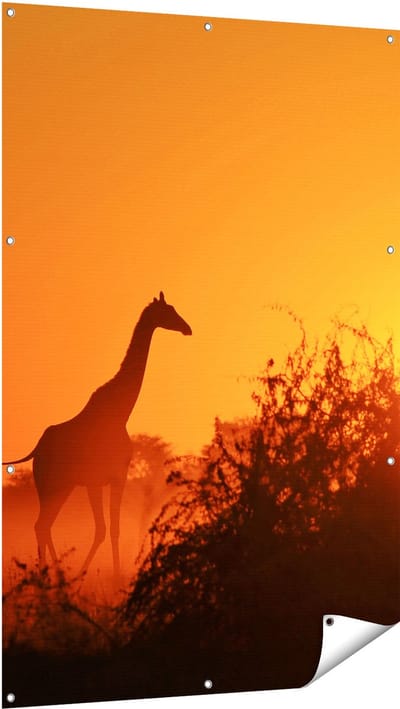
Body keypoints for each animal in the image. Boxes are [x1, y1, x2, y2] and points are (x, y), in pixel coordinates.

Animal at [3, 292, 192, 581]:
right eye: (168, 311)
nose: (187, 328)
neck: (121, 411)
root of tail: (37, 449)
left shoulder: (98, 481)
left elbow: (105, 529)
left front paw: (90, 574)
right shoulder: (115, 476)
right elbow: (109, 529)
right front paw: (111, 576)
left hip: (60, 486)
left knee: (43, 524)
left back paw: (52, 573)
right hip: (52, 485)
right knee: (42, 524)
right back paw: (51, 575)